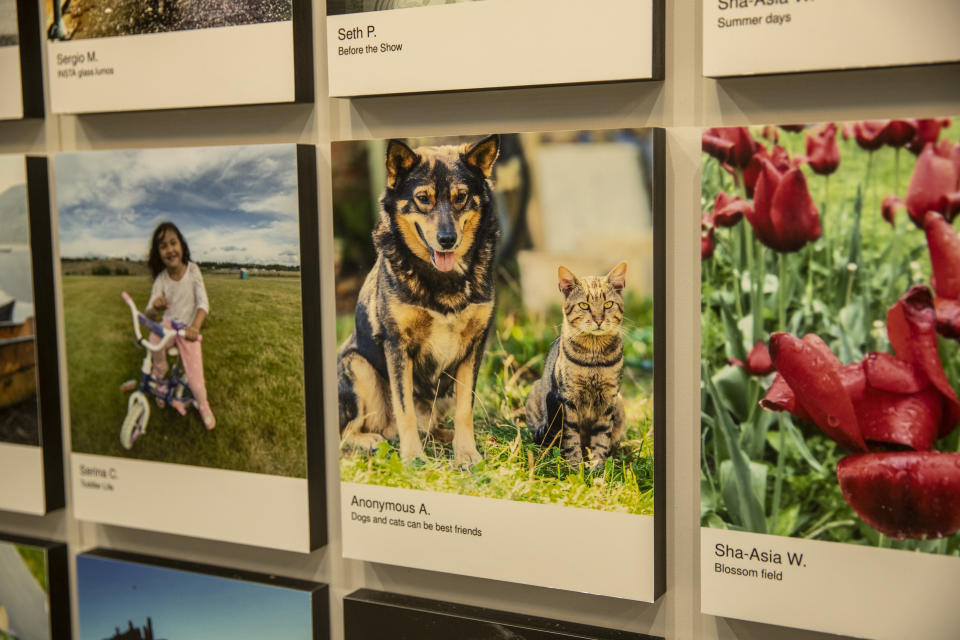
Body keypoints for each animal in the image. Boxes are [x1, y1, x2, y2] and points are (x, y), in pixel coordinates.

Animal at [338, 136, 498, 464]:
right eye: (423, 198)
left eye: (461, 197)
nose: (447, 240)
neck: (443, 278)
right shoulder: (397, 344)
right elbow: (405, 409)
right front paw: (413, 459)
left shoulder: (474, 345)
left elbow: (465, 409)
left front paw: (467, 453)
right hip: (356, 365)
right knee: (349, 431)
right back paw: (372, 441)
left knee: (433, 426)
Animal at [524, 262, 632, 468]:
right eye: (584, 305)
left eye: (608, 304)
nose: (598, 319)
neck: (594, 359)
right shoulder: (568, 399)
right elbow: (571, 436)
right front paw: (575, 466)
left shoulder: (608, 400)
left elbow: (601, 436)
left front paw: (597, 467)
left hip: (620, 404)